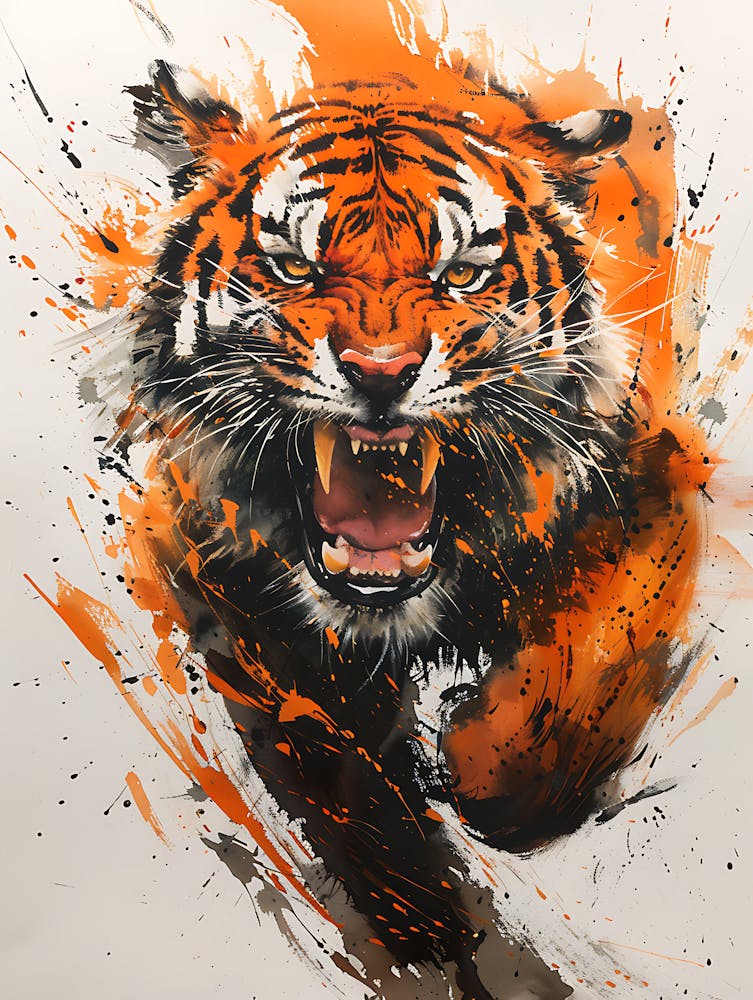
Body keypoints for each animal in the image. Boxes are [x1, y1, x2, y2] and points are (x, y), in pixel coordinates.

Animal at [90, 9, 706, 996]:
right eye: (295, 267)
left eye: (460, 274)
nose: (380, 374)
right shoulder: (211, 570)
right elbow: (343, 780)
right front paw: (421, 924)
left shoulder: (653, 474)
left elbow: (593, 663)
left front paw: (488, 775)